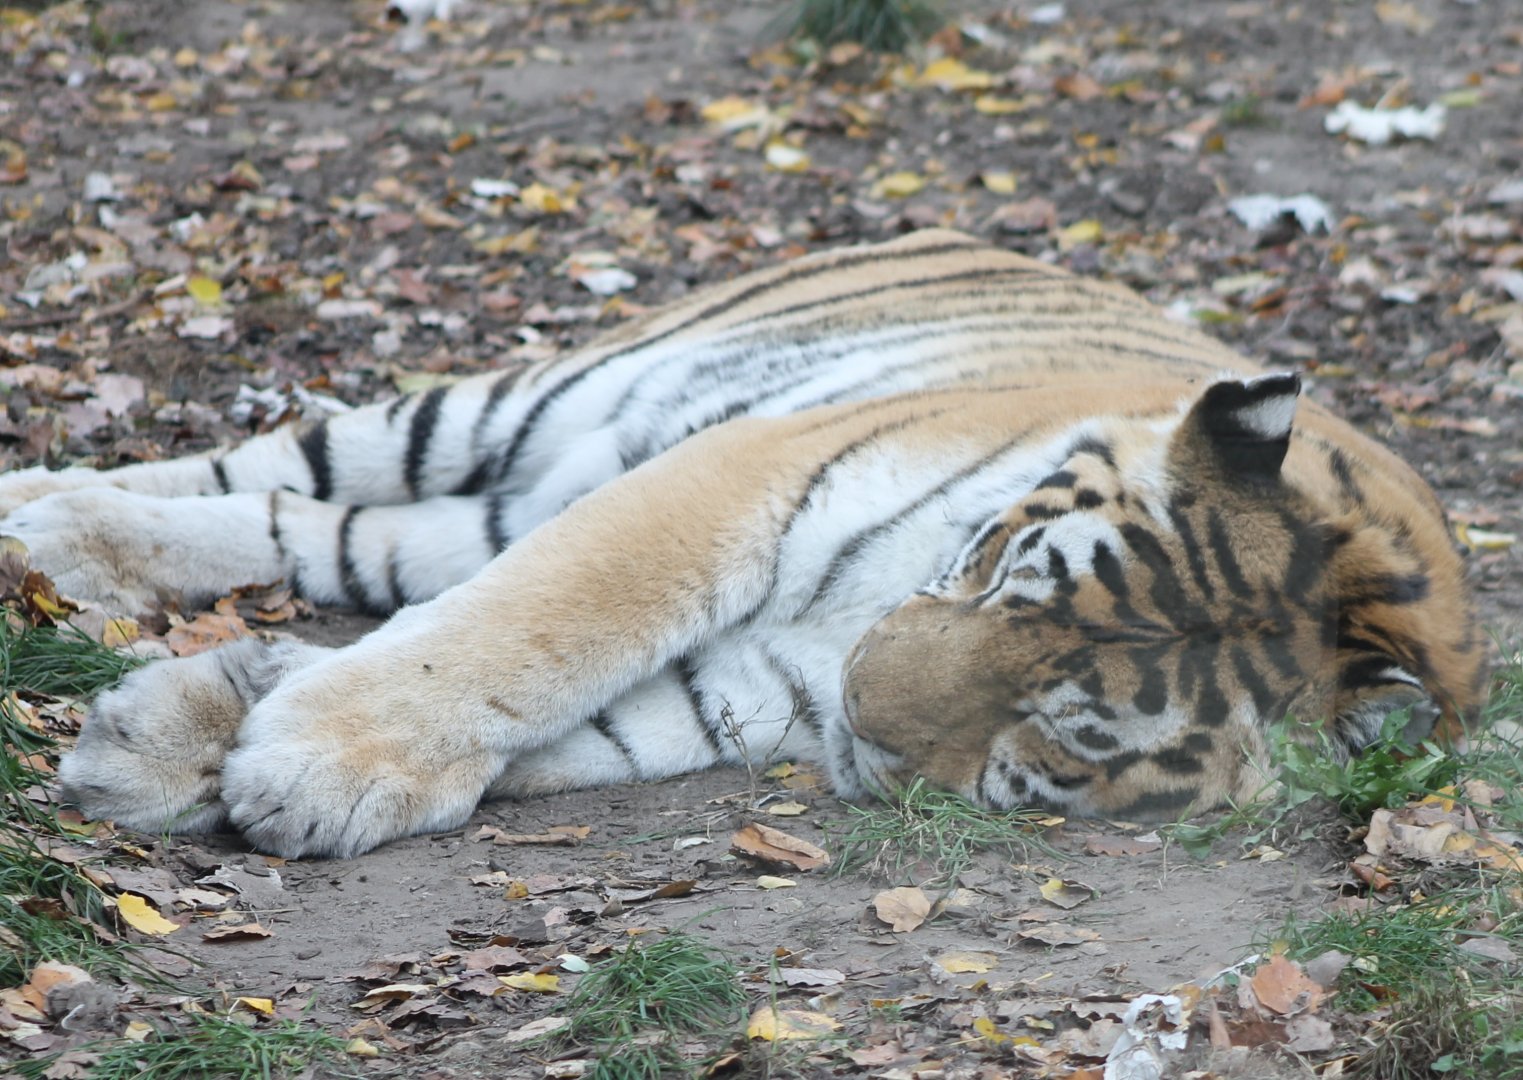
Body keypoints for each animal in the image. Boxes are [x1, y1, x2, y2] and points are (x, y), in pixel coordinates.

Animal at [0, 229, 1484, 859]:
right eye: (1003, 567)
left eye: (1059, 740)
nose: (864, 711)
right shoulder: (737, 475)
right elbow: (541, 625)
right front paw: (300, 751)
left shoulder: (761, 684)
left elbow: (578, 728)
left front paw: (203, 741)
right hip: (531, 400)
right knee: (284, 466)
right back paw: (44, 516)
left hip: (484, 498)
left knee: (338, 533)